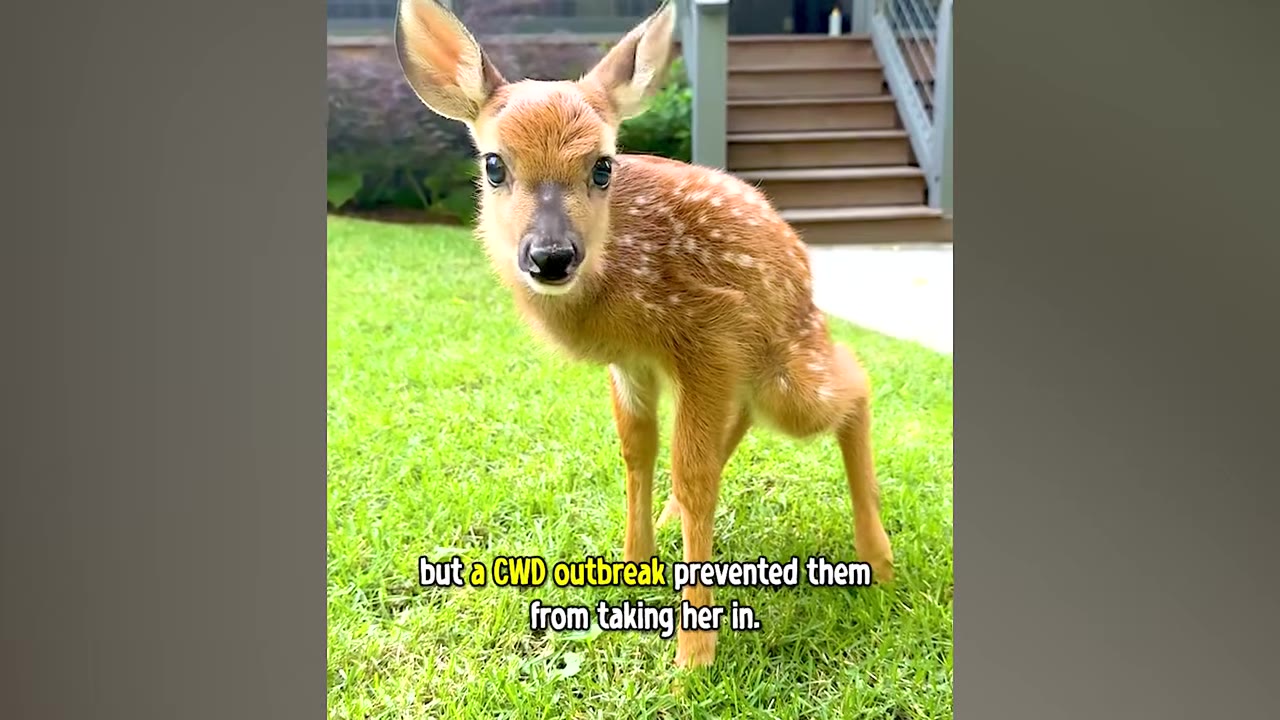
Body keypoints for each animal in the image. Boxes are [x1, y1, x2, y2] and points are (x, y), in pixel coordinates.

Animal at [394, 0, 895, 668]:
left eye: (603, 165)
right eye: (494, 165)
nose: (551, 256)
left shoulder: (709, 335)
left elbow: (694, 472)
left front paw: (694, 656)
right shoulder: (634, 363)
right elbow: (638, 449)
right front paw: (635, 564)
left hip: (788, 371)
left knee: (856, 384)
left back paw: (879, 559)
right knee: (749, 415)